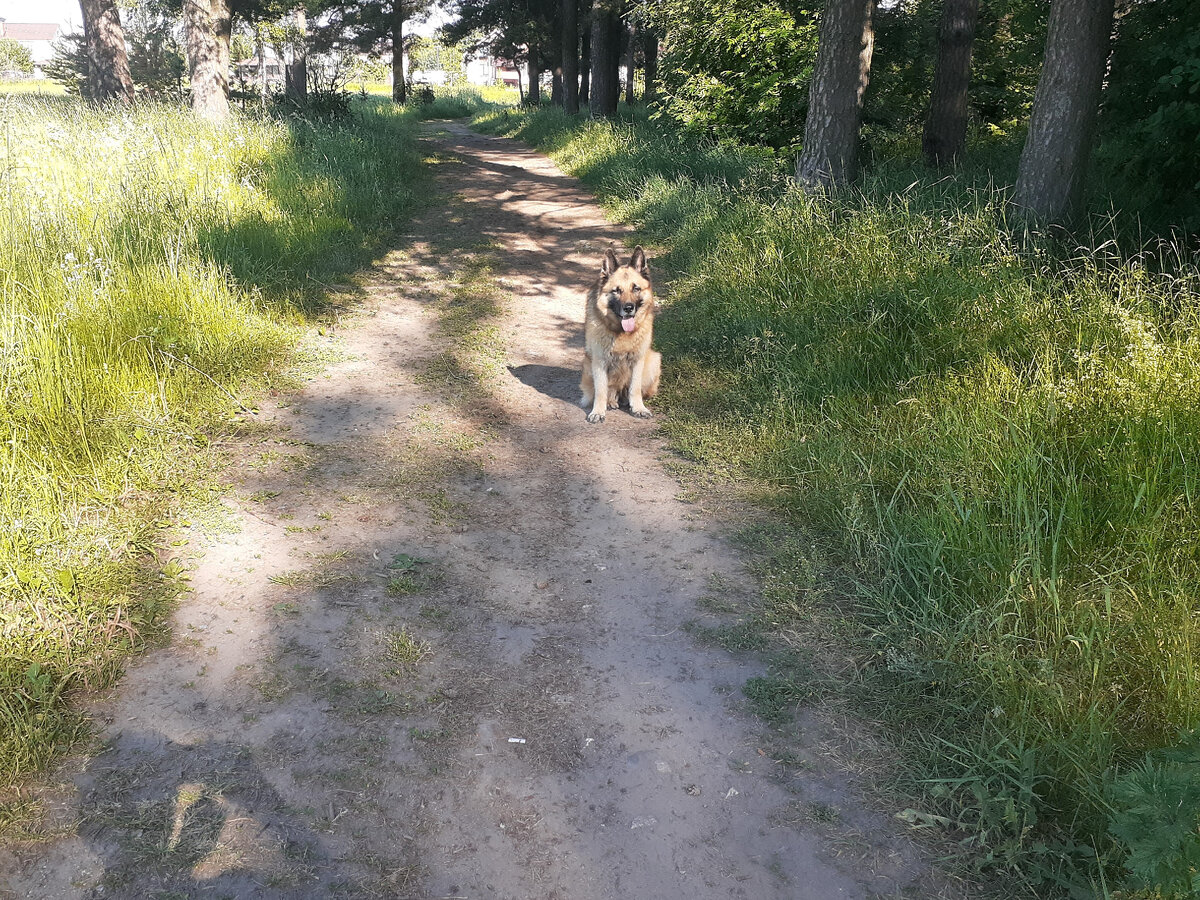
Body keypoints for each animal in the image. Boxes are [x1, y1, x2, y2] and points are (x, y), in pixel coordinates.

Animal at [578, 244, 662, 424]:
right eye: (616, 291)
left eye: (636, 288)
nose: (629, 308)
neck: (622, 333)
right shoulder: (599, 362)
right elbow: (601, 391)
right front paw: (598, 411)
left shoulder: (637, 360)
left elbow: (634, 388)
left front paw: (638, 408)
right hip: (588, 365)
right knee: (607, 391)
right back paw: (610, 402)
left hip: (654, 360)